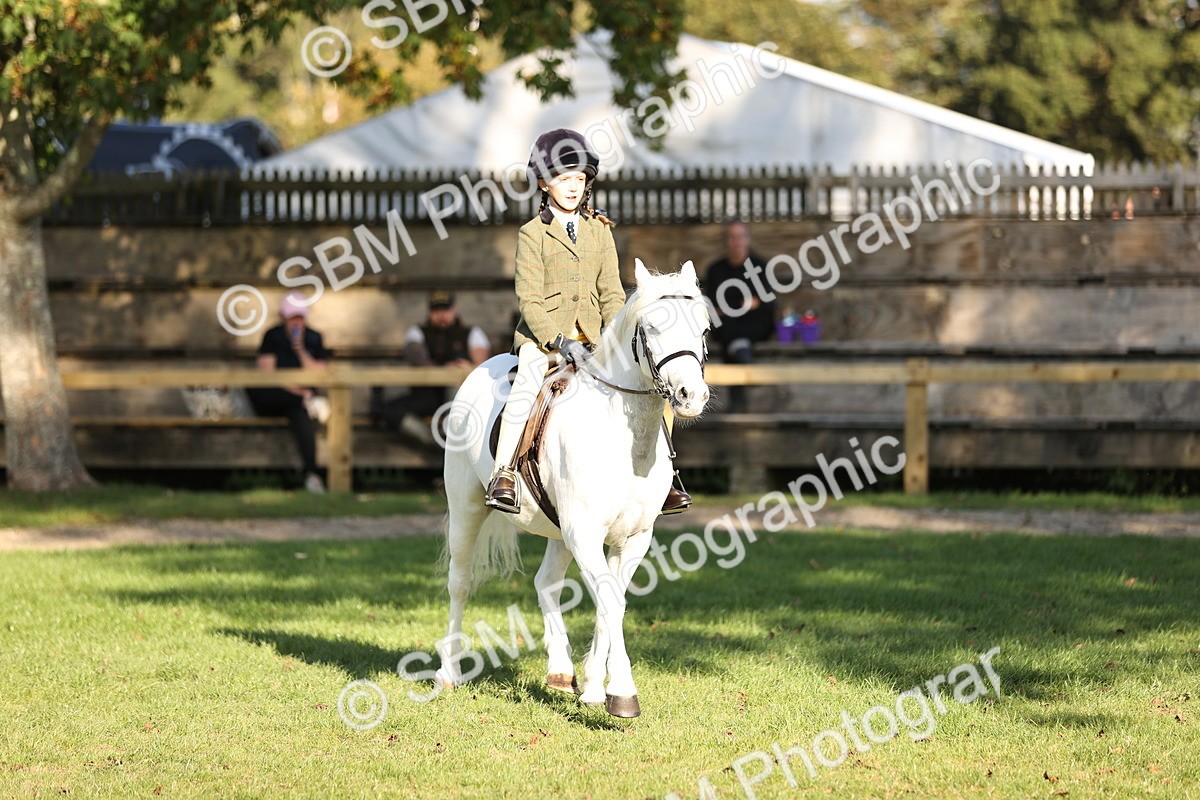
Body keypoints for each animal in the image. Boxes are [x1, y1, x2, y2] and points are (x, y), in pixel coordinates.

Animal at [436, 259, 712, 717]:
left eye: (703, 328)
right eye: (652, 327)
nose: (691, 396)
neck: (626, 440)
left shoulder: (632, 537)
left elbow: (611, 601)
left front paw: (596, 687)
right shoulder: (585, 532)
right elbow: (610, 600)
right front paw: (623, 693)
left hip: (558, 529)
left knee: (545, 582)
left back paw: (561, 671)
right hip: (467, 507)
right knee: (460, 581)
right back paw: (448, 673)